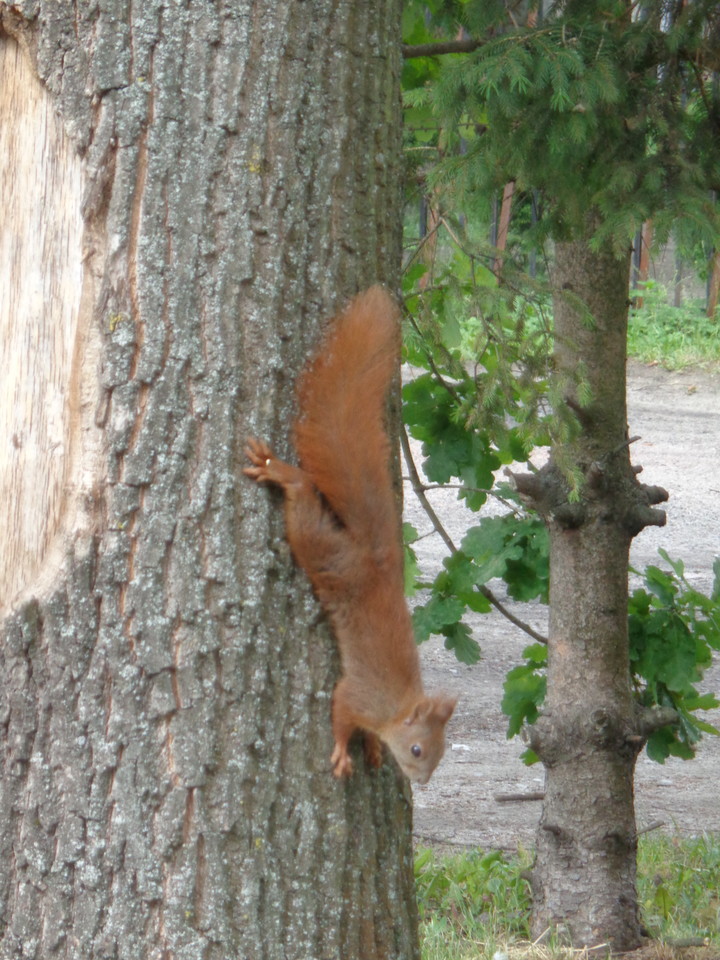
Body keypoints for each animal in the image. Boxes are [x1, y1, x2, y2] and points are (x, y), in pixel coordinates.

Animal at [242, 284, 456, 780]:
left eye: (439, 756)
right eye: (418, 750)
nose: (421, 781)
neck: (396, 708)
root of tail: (379, 561)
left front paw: (373, 750)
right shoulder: (359, 695)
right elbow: (340, 712)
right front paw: (343, 751)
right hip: (325, 551)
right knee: (303, 500)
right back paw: (281, 473)